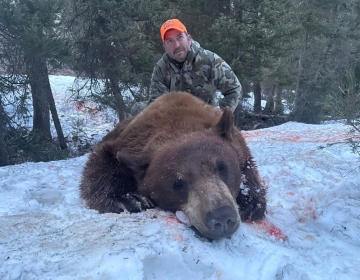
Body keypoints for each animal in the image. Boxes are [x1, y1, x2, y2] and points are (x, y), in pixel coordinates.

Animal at [80, 91, 266, 240]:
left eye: (221, 166)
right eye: (177, 183)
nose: (222, 217)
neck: (177, 123)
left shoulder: (238, 143)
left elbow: (249, 168)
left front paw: (250, 203)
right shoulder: (122, 145)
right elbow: (99, 166)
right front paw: (129, 199)